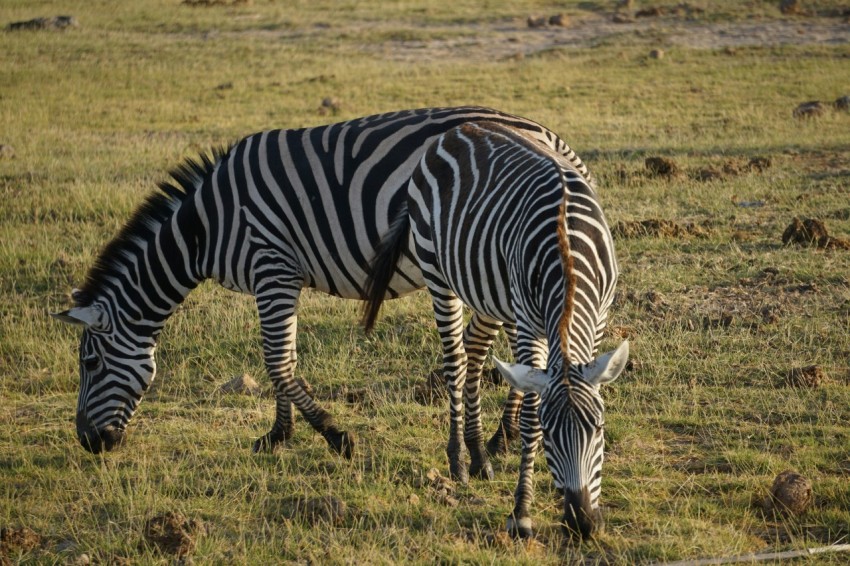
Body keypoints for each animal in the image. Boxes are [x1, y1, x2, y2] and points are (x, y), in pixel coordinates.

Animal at [49, 105, 592, 474]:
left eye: (89, 363)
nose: (87, 442)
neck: (206, 226)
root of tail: (550, 136)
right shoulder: (280, 276)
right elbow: (284, 357)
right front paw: (278, 434)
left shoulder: (271, 263)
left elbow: (277, 361)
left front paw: (336, 437)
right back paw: (502, 437)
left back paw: (498, 439)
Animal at [362, 122, 628, 540]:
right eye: (549, 436)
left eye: (599, 428)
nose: (582, 523)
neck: (568, 252)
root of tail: (458, 129)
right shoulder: (530, 322)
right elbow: (531, 414)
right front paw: (521, 512)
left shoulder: (598, 319)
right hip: (437, 272)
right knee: (455, 359)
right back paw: (457, 460)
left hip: (490, 291)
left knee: (474, 348)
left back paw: (477, 456)